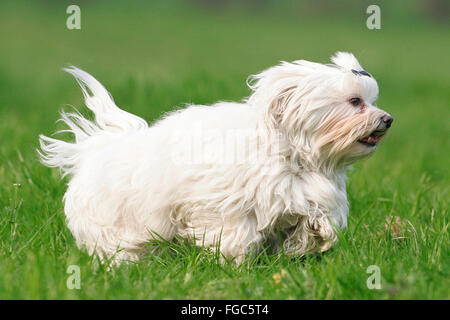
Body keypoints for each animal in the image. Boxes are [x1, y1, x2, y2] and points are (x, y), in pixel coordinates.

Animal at [38, 51, 392, 264]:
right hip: (117, 225)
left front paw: (310, 241)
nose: (387, 119)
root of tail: (97, 149)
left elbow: (315, 223)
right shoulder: (225, 206)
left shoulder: (305, 196)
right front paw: (236, 265)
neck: (292, 152)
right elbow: (234, 236)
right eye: (356, 101)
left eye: (371, 101)